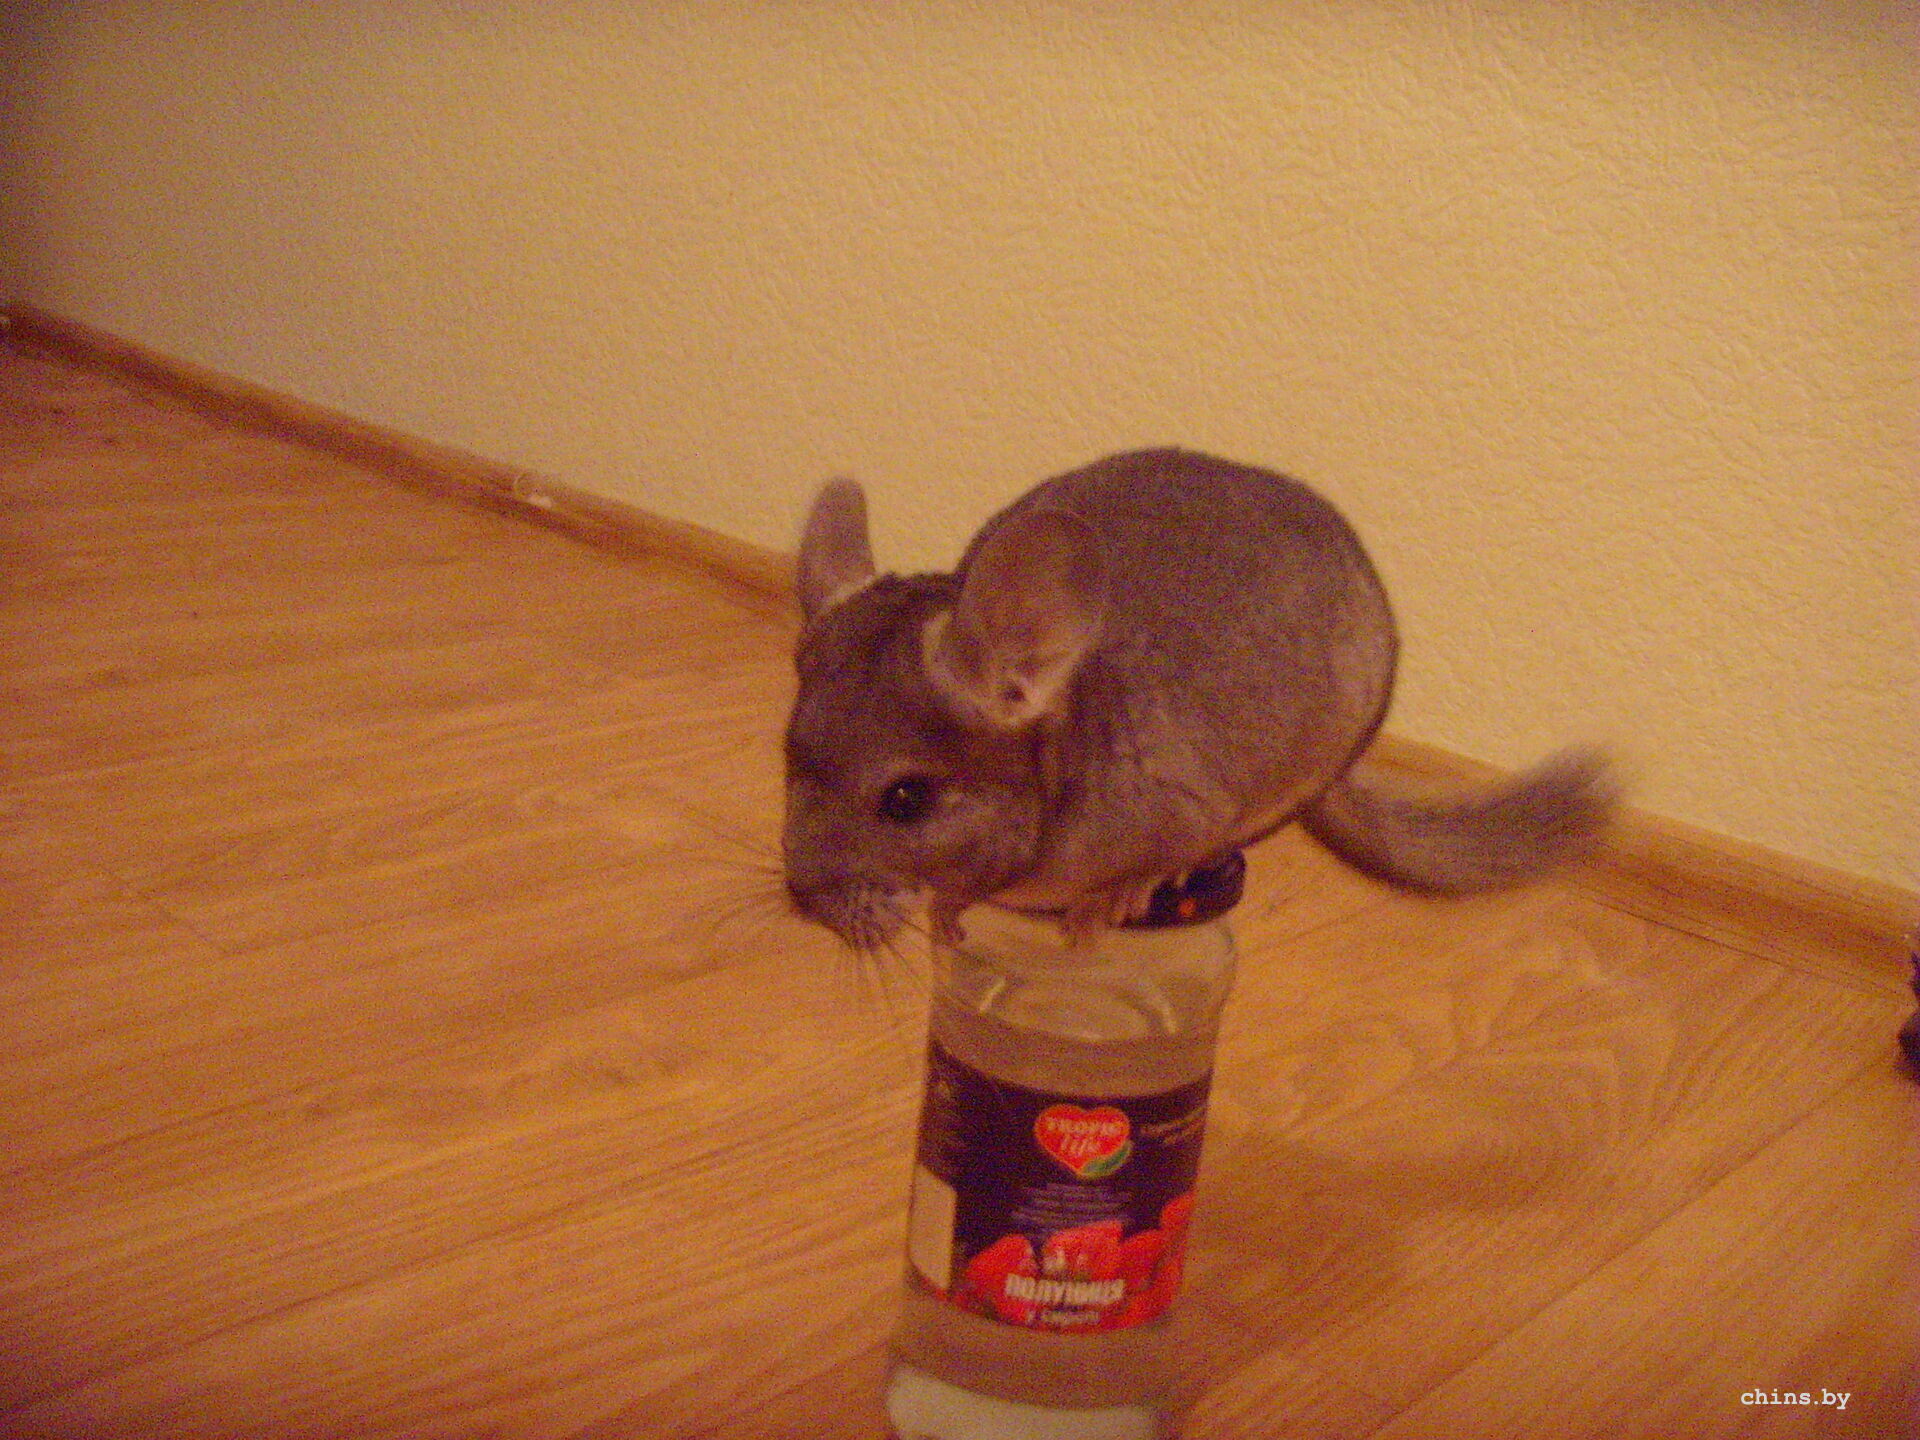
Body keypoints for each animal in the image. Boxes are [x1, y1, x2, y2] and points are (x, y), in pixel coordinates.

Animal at [782, 447, 1612, 948]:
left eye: (906, 799)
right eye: (786, 756)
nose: (800, 901)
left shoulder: (1188, 808)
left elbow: (1158, 860)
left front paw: (1102, 912)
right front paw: (950, 918)